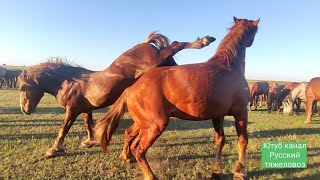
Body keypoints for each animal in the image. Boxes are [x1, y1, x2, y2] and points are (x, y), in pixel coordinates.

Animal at [18, 32, 216, 158]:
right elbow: (89, 125)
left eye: (22, 88)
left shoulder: (71, 110)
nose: (25, 110)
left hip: (159, 59)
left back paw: (204, 41)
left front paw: (53, 150)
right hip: (164, 63)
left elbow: (63, 130)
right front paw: (90, 142)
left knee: (176, 45)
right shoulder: (84, 109)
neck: (69, 82)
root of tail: (145, 43)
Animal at [95, 17, 260, 180]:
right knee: (139, 149)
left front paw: (216, 171)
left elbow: (220, 140)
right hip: (155, 125)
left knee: (129, 134)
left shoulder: (218, 116)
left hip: (143, 123)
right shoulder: (241, 113)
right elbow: (242, 140)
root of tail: (131, 88)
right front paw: (240, 172)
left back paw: (126, 156)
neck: (229, 67)